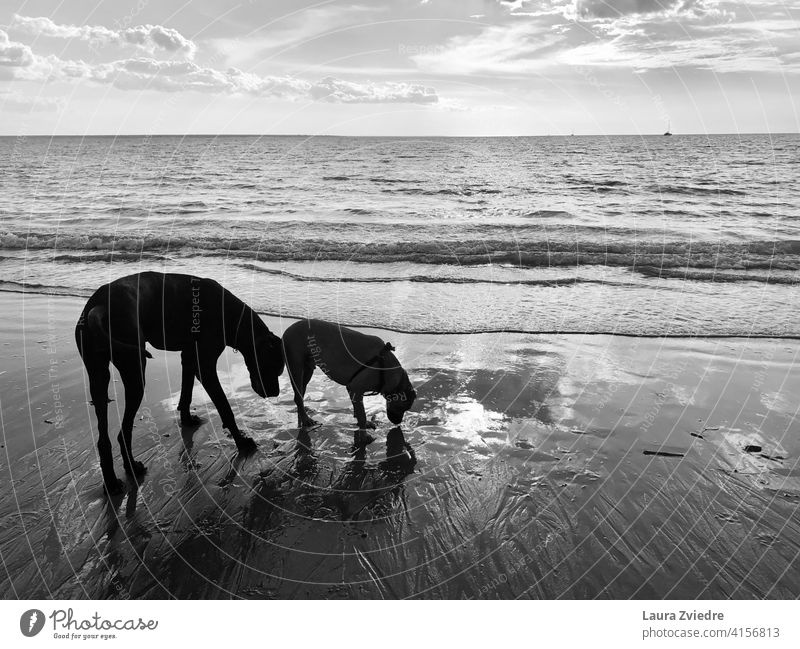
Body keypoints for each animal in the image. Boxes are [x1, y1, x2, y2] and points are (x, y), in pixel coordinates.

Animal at [75, 272, 286, 492]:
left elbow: (186, 392)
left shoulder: (189, 357)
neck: (232, 315)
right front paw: (241, 441)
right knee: (123, 431)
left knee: (104, 437)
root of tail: (100, 306)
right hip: (134, 370)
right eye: (272, 367)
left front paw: (186, 419)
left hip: (98, 374)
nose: (275, 393)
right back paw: (131, 467)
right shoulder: (205, 366)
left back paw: (111, 482)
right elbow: (224, 407)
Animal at [282, 318, 416, 430]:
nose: (398, 423)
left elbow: (358, 409)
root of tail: (287, 331)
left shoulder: (353, 389)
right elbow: (362, 415)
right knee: (298, 395)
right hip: (296, 366)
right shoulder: (356, 387)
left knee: (300, 394)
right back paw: (305, 419)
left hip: (307, 369)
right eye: (403, 407)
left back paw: (302, 417)